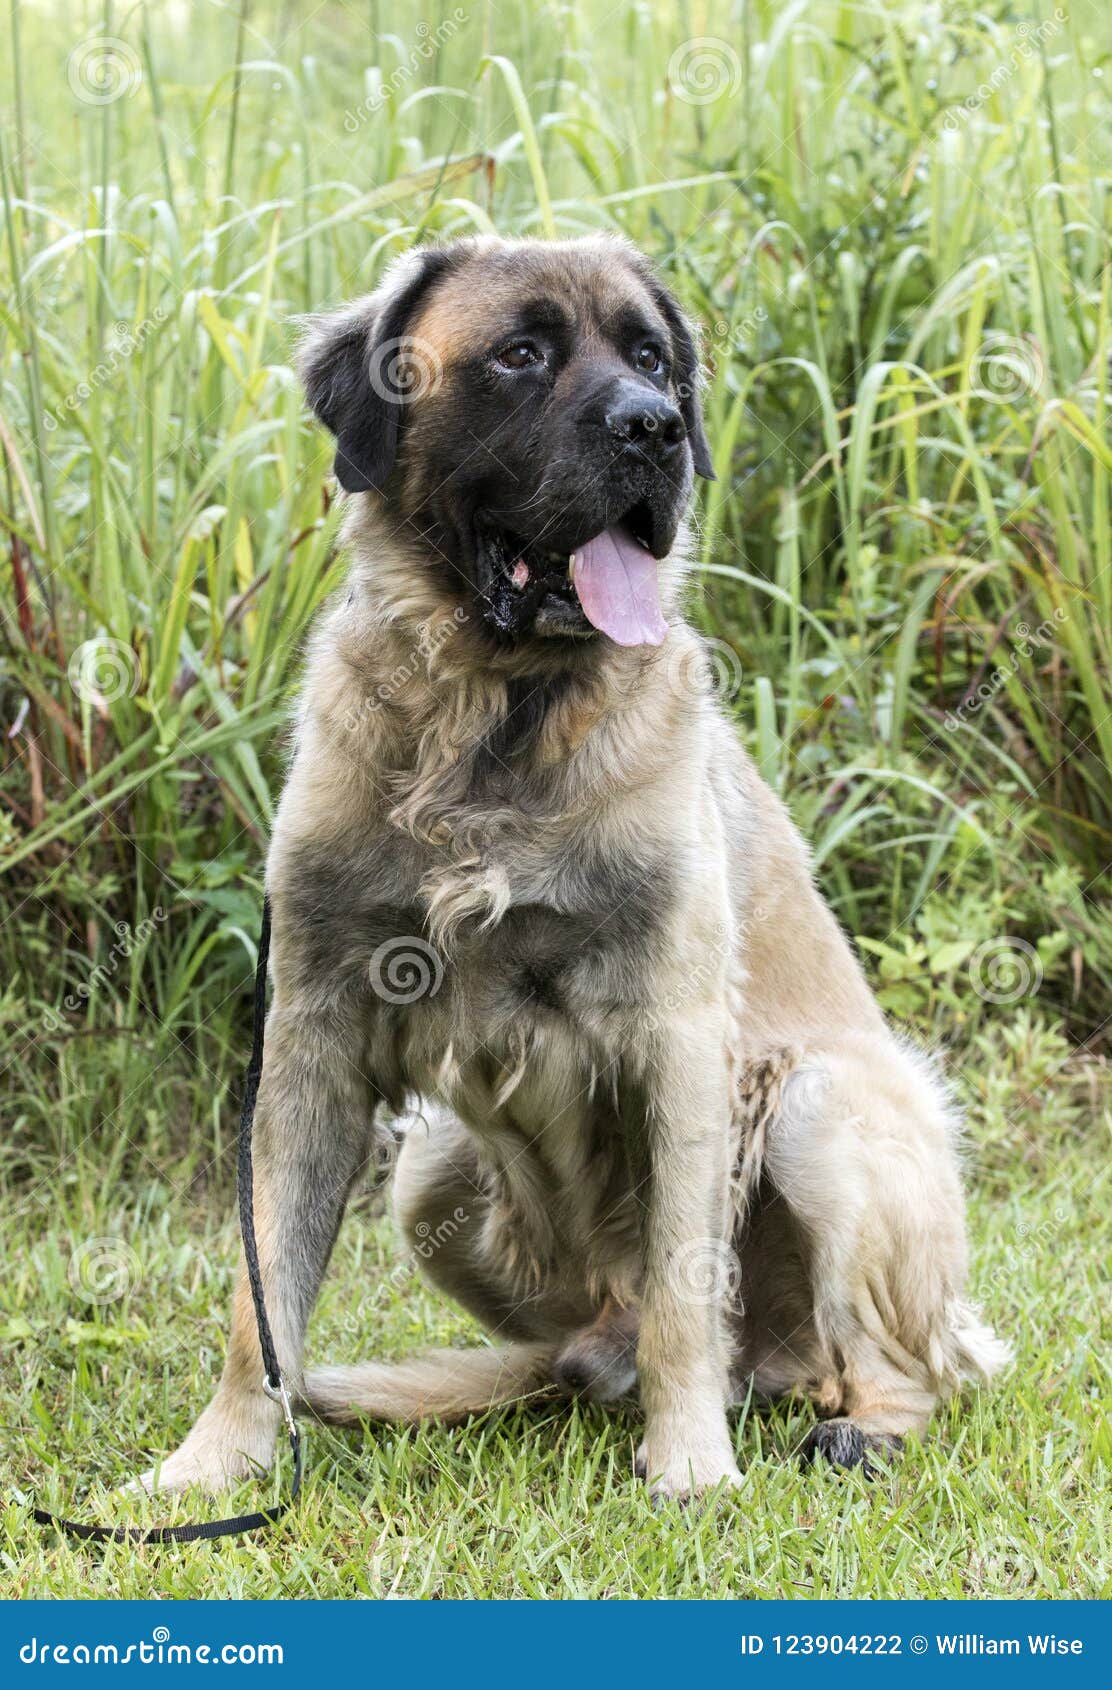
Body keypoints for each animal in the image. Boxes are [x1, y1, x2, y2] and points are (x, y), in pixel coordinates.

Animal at [131, 238, 1007, 1507]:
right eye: (520, 354)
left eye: (651, 358)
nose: (652, 429)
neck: (490, 717)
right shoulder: (313, 1030)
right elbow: (264, 1293)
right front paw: (214, 1462)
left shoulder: (679, 1041)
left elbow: (686, 1288)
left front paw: (691, 1467)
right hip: (431, 1172)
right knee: (581, 1338)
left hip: (820, 1107)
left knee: (890, 1361)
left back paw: (854, 1427)